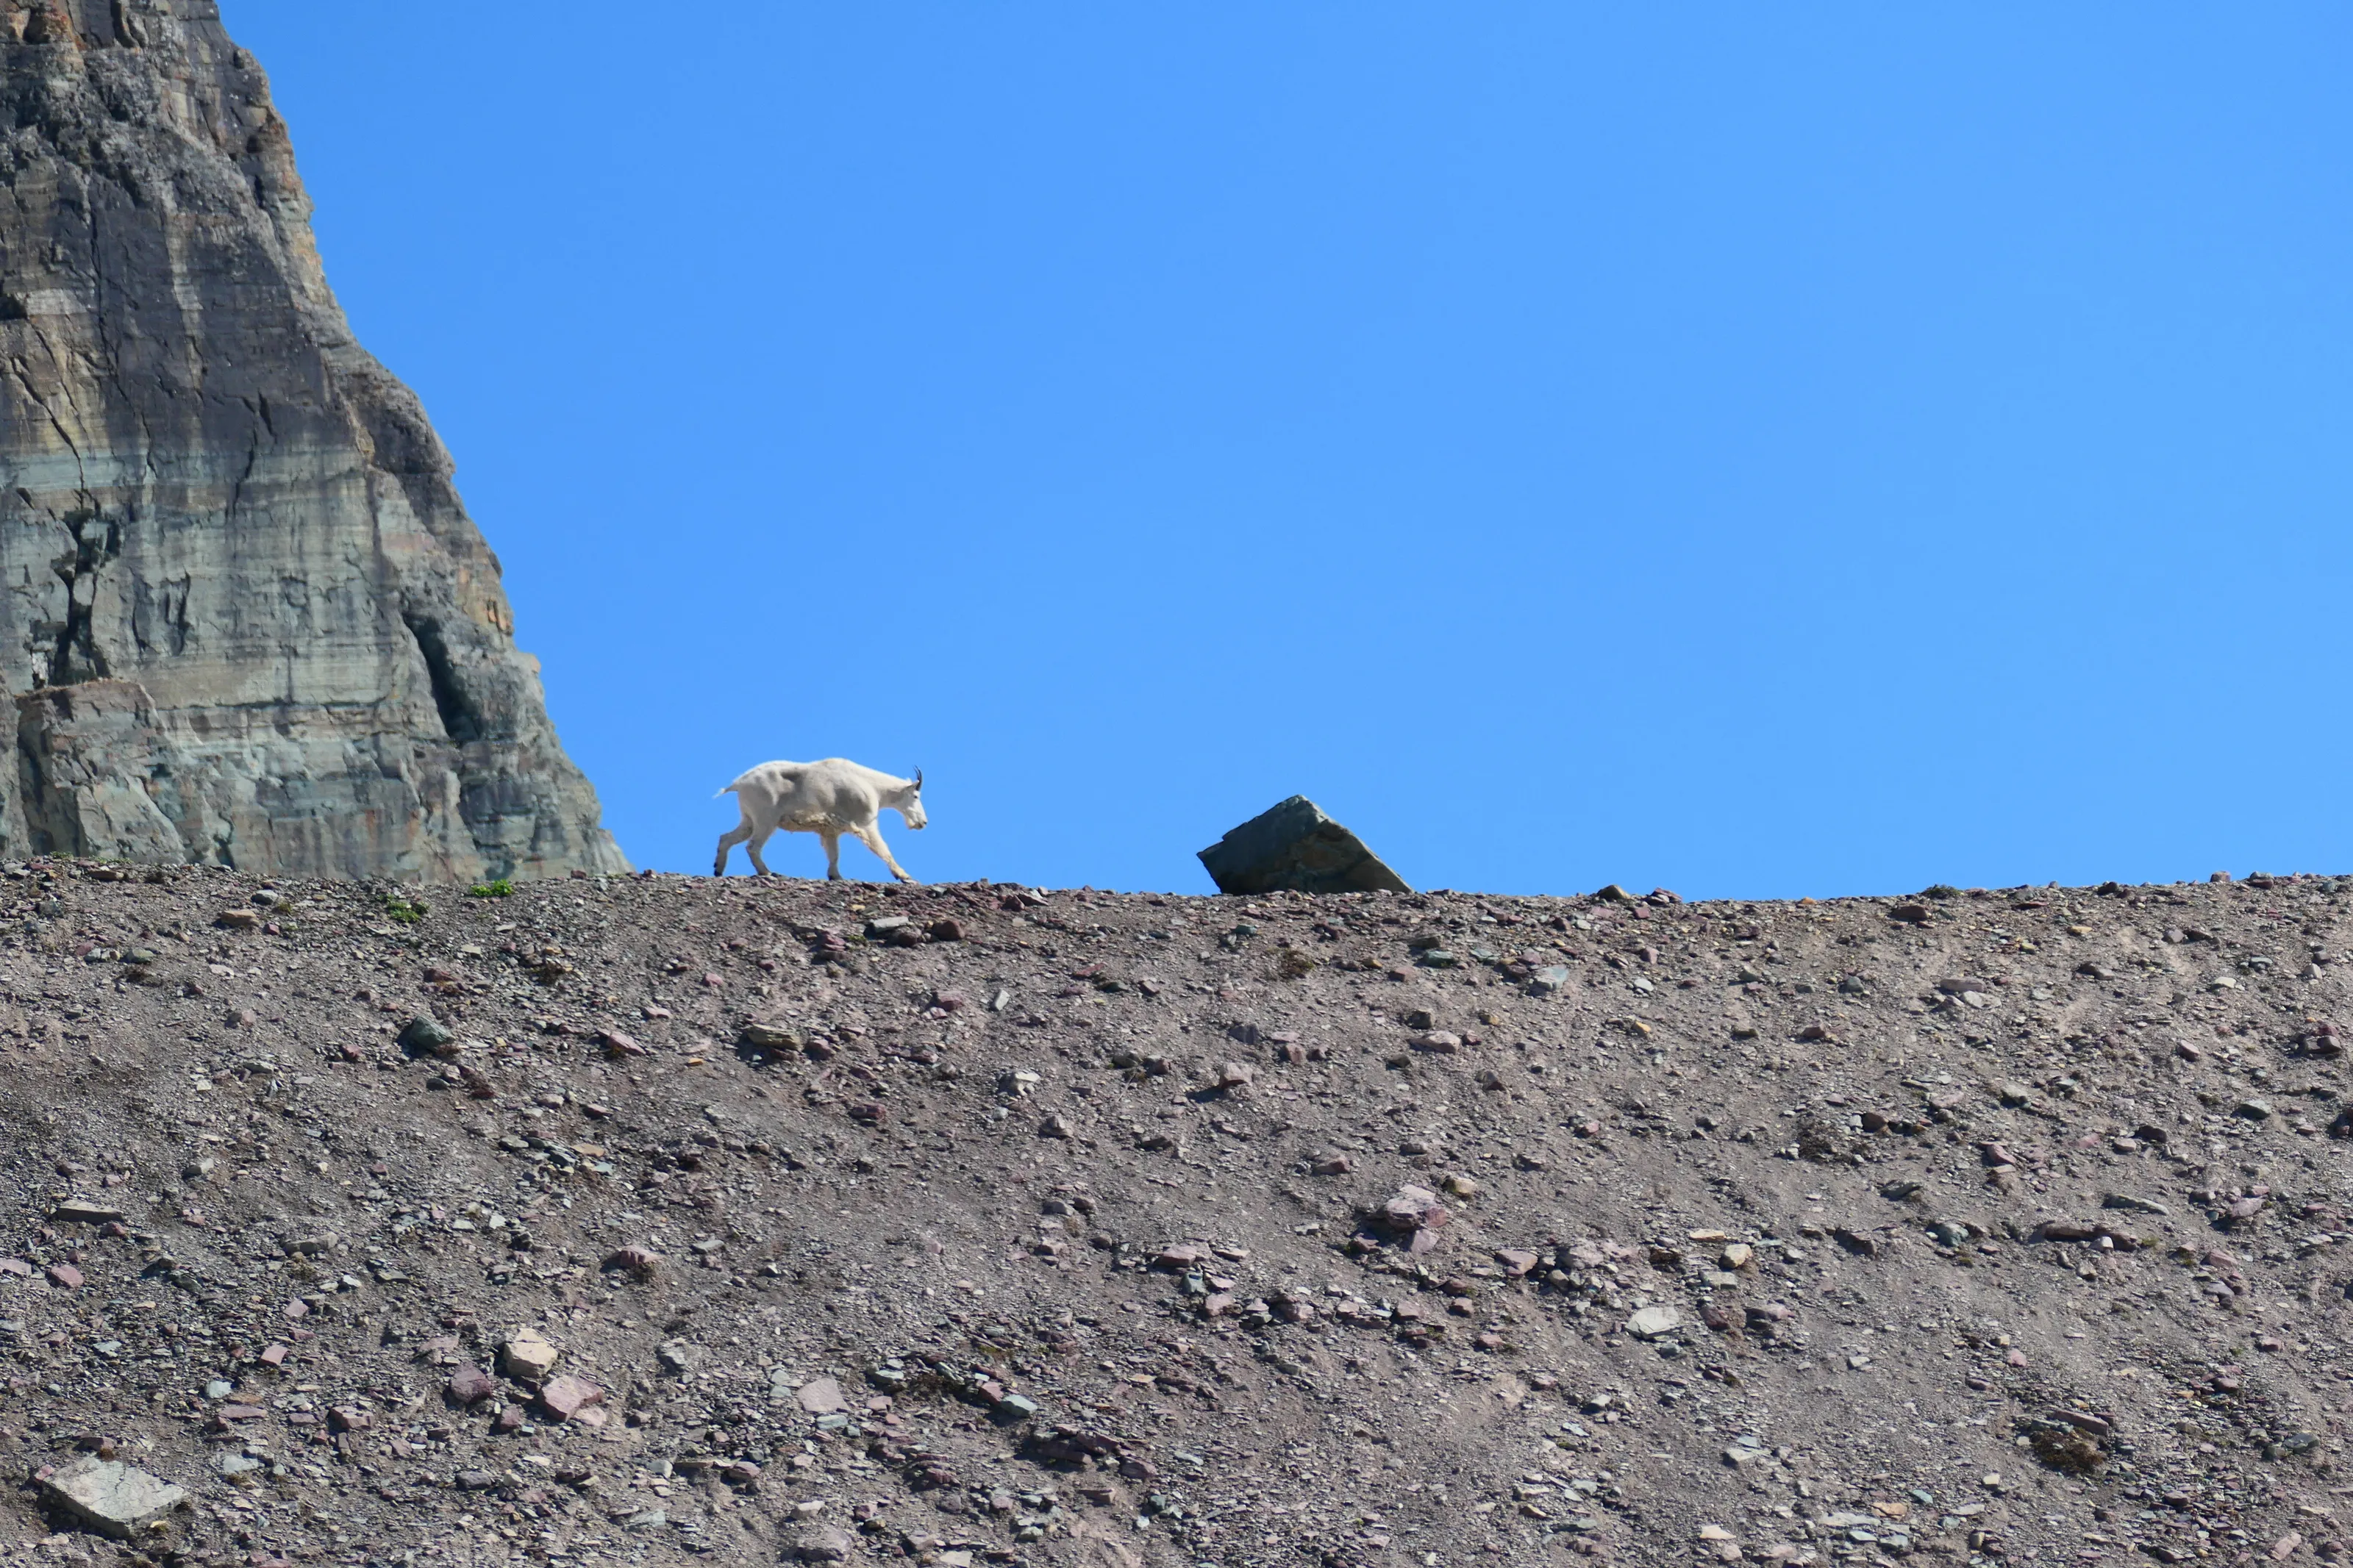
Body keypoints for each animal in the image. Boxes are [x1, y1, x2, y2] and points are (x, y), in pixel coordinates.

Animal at [714, 759, 927, 882]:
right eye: (916, 796)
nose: (923, 822)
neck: (873, 787)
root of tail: (739, 783)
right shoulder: (866, 823)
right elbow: (882, 849)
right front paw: (904, 876)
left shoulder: (830, 831)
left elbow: (834, 854)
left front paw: (836, 876)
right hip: (766, 819)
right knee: (753, 846)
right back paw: (766, 872)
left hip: (749, 819)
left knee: (727, 838)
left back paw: (718, 869)